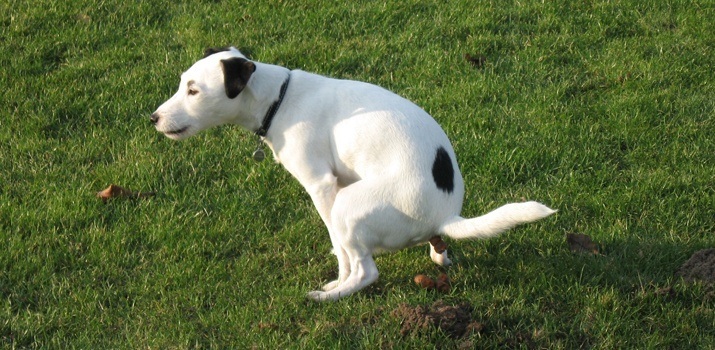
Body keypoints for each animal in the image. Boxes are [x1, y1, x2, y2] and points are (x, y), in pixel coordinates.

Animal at [150, 47, 552, 300]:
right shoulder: (338, 179)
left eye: (193, 90)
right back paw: (438, 254)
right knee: (433, 248)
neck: (277, 98)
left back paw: (332, 295)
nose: (153, 118)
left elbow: (339, 247)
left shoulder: (323, 186)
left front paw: (337, 277)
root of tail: (445, 215)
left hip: (349, 205)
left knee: (365, 271)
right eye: (182, 83)